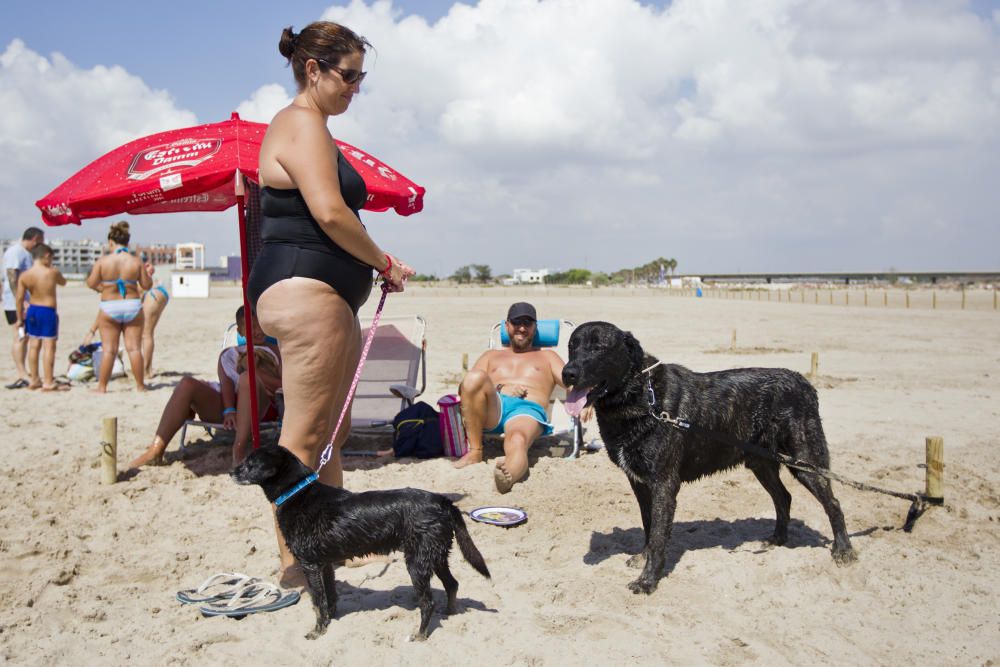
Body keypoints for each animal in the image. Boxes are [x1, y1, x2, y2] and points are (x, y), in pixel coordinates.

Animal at [228, 446, 492, 640]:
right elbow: (330, 596)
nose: (230, 472)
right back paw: (450, 613)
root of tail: (443, 501)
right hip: (435, 555)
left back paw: (419, 635)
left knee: (427, 602)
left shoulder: (310, 565)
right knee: (452, 584)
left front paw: (317, 631)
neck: (296, 492)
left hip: (417, 563)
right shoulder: (325, 565)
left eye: (250, 463)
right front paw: (330, 620)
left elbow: (317, 601)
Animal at [568, 322, 856, 596]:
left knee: (833, 503)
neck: (642, 397)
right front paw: (643, 557)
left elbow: (659, 536)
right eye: (572, 346)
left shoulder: (664, 484)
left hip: (803, 462)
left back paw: (843, 550)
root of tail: (805, 383)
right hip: (761, 464)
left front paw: (648, 581)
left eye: (598, 347)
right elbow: (648, 525)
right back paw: (777, 539)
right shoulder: (639, 483)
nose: (567, 373)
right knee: (784, 497)